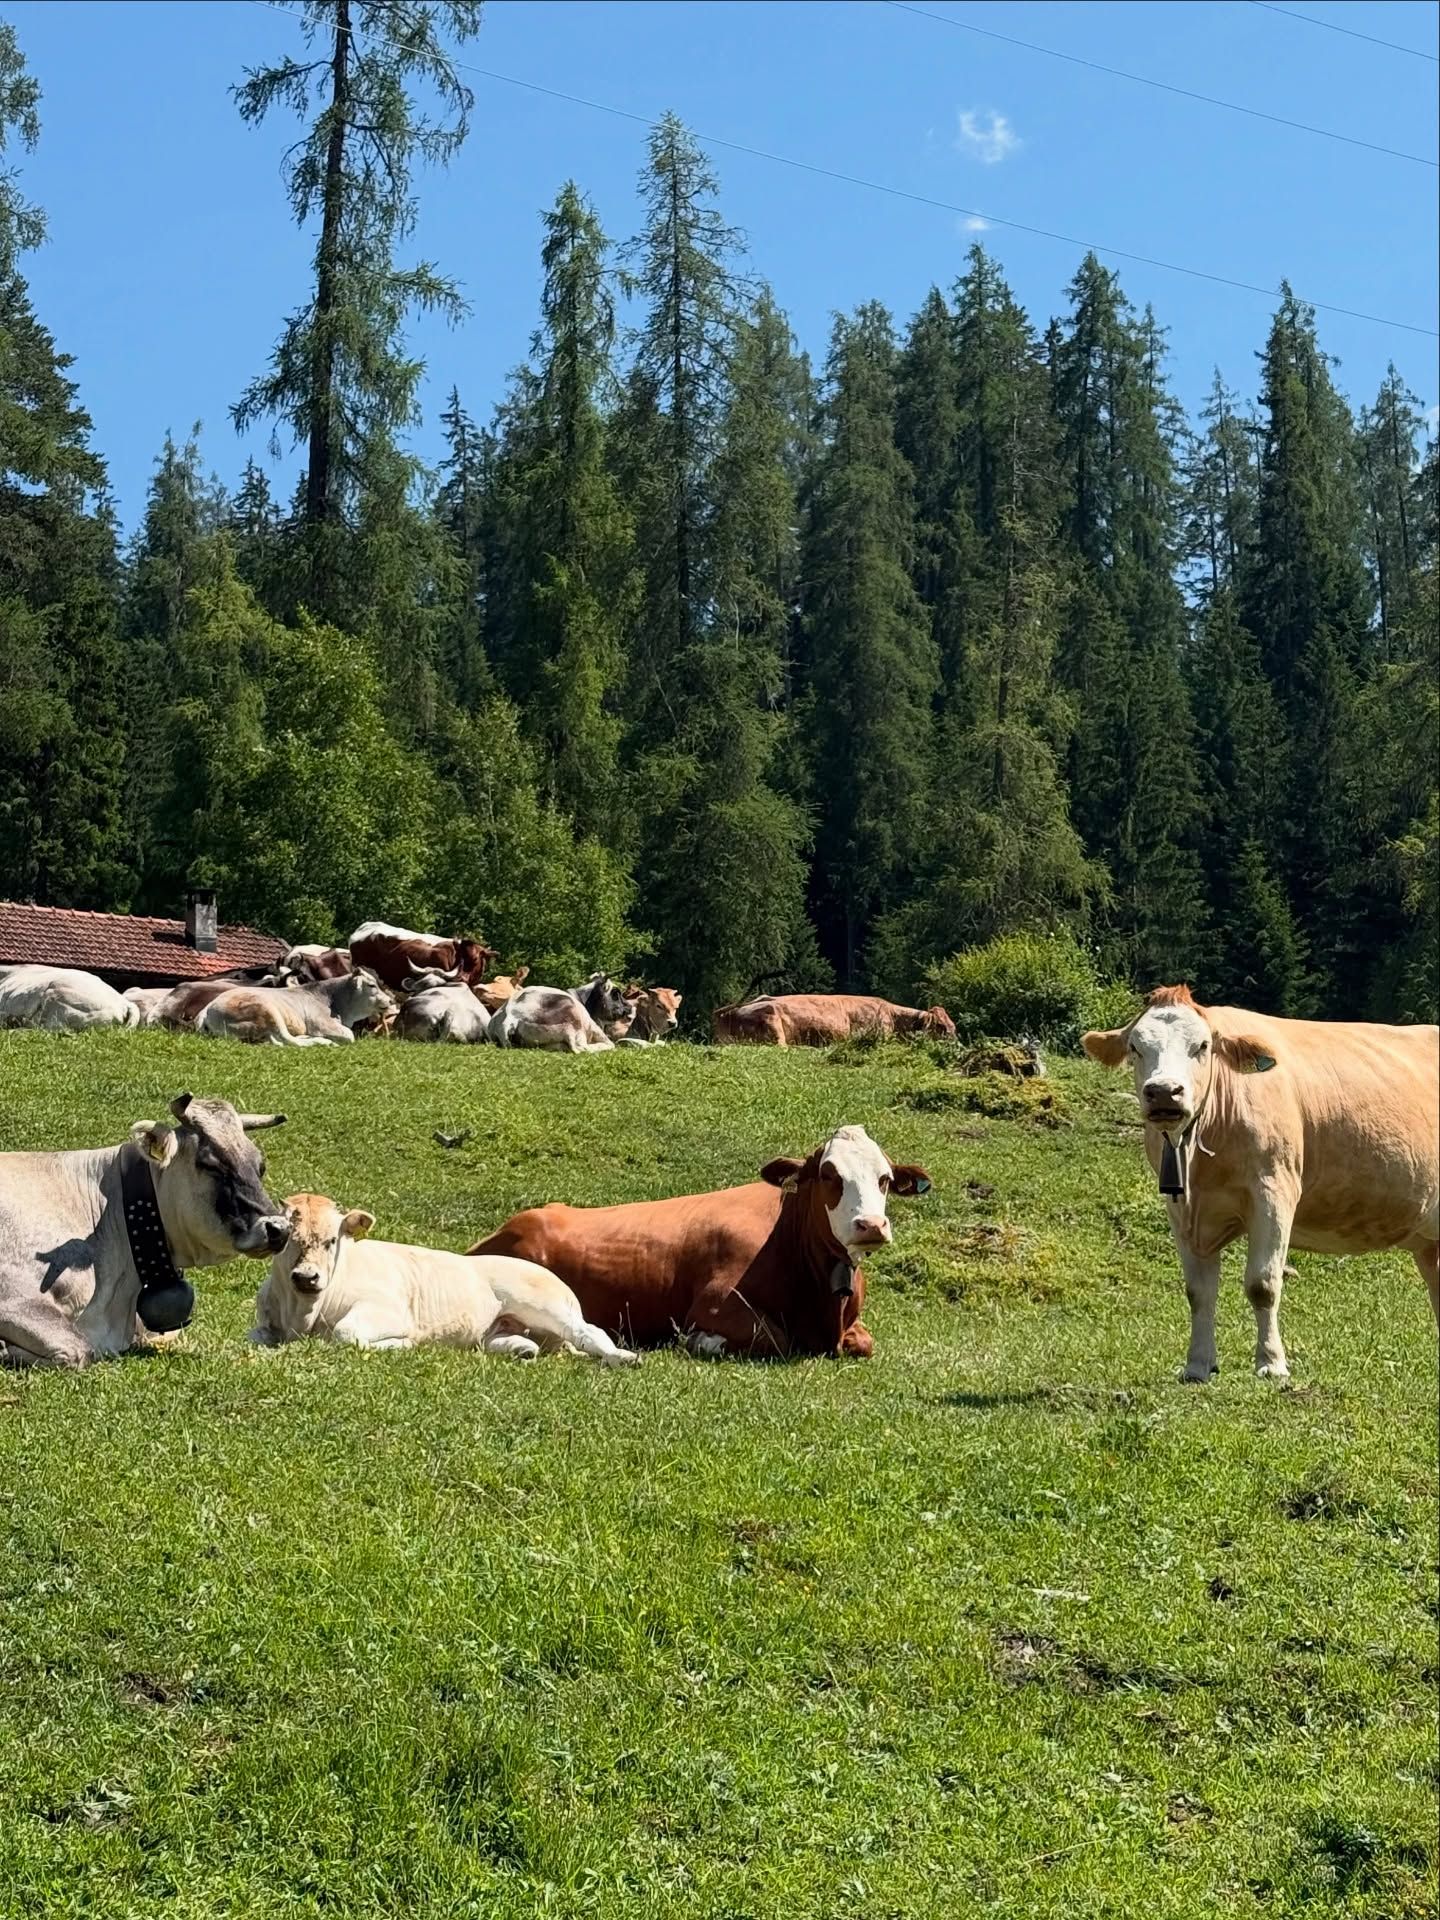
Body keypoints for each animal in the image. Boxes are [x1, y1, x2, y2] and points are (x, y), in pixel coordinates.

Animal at [0, 1093, 287, 1368]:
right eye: (210, 1164)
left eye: (260, 1165)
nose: (279, 1228)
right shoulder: (14, 1297)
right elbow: (78, 1350)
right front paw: (4, 1349)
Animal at [197, 970, 395, 1048]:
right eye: (372, 985)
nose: (391, 1000)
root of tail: (208, 1008)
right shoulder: (321, 1024)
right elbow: (350, 1035)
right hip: (267, 1009)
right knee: (287, 1040)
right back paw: (323, 1042)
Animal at [252, 1193, 639, 1365]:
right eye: (286, 1237)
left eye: (332, 1240)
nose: (306, 1277)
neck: (302, 1315)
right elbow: (256, 1336)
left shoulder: (388, 1311)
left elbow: (346, 1334)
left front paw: (403, 1344)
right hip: (500, 1329)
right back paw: (522, 1350)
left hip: (548, 1307)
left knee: (590, 1332)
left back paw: (623, 1357)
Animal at [468, 1124, 933, 1359]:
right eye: (828, 1174)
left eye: (885, 1179)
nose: (871, 1225)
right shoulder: (713, 1304)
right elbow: (773, 1339)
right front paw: (701, 1341)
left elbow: (865, 1343)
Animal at [1082, 985, 1440, 1382]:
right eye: (1136, 1047)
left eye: (1202, 1046)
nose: (1163, 1091)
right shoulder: (1180, 1209)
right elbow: (1198, 1292)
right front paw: (1197, 1365)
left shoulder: (1274, 1192)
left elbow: (1263, 1284)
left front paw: (1272, 1362)